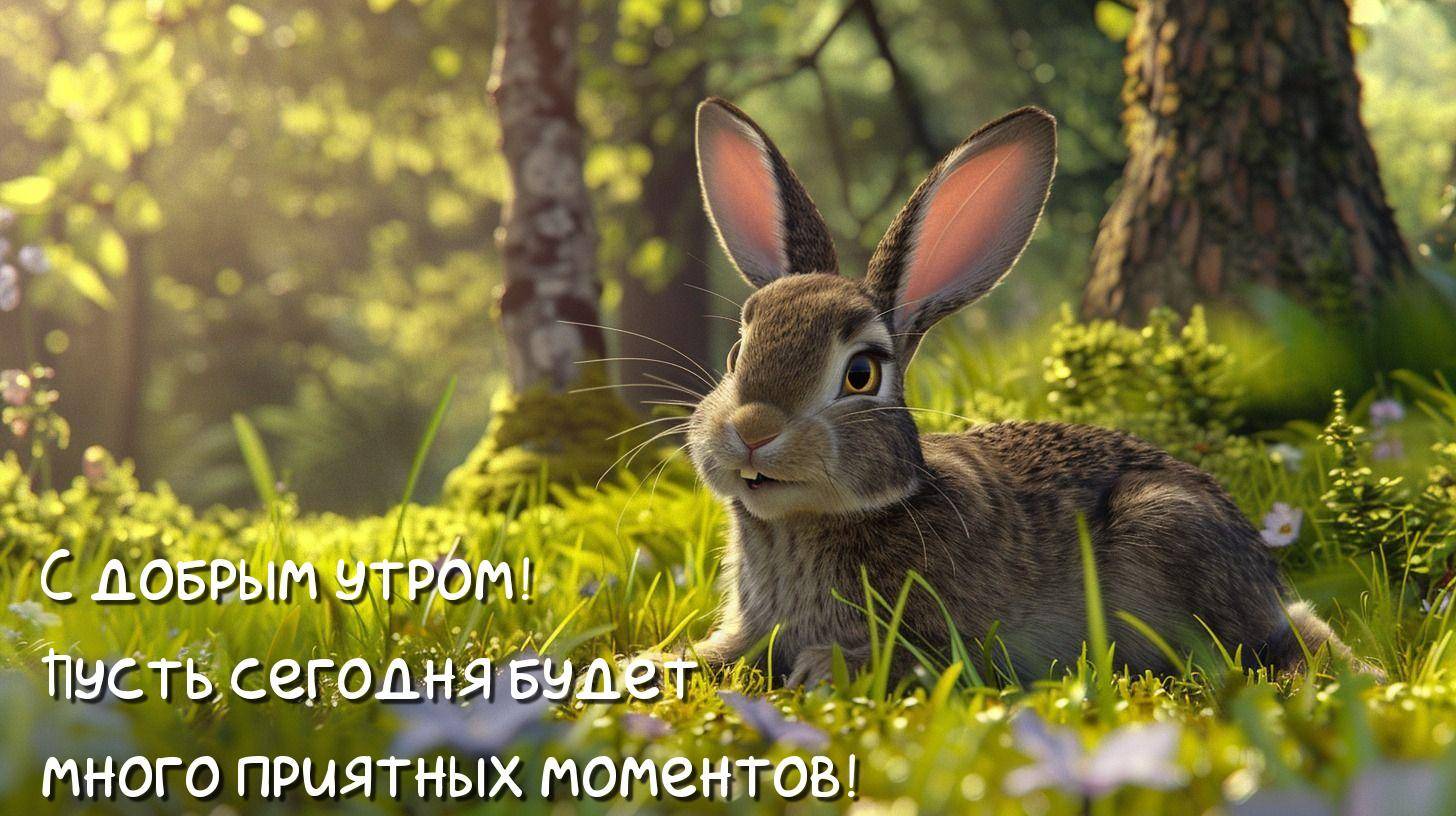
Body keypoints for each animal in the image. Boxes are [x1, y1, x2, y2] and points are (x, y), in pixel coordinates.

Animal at [676, 97, 1365, 687]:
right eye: (738, 351)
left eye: (861, 373)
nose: (753, 429)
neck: (808, 520)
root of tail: (1271, 589)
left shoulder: (950, 639)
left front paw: (824, 670)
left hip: (1168, 525)